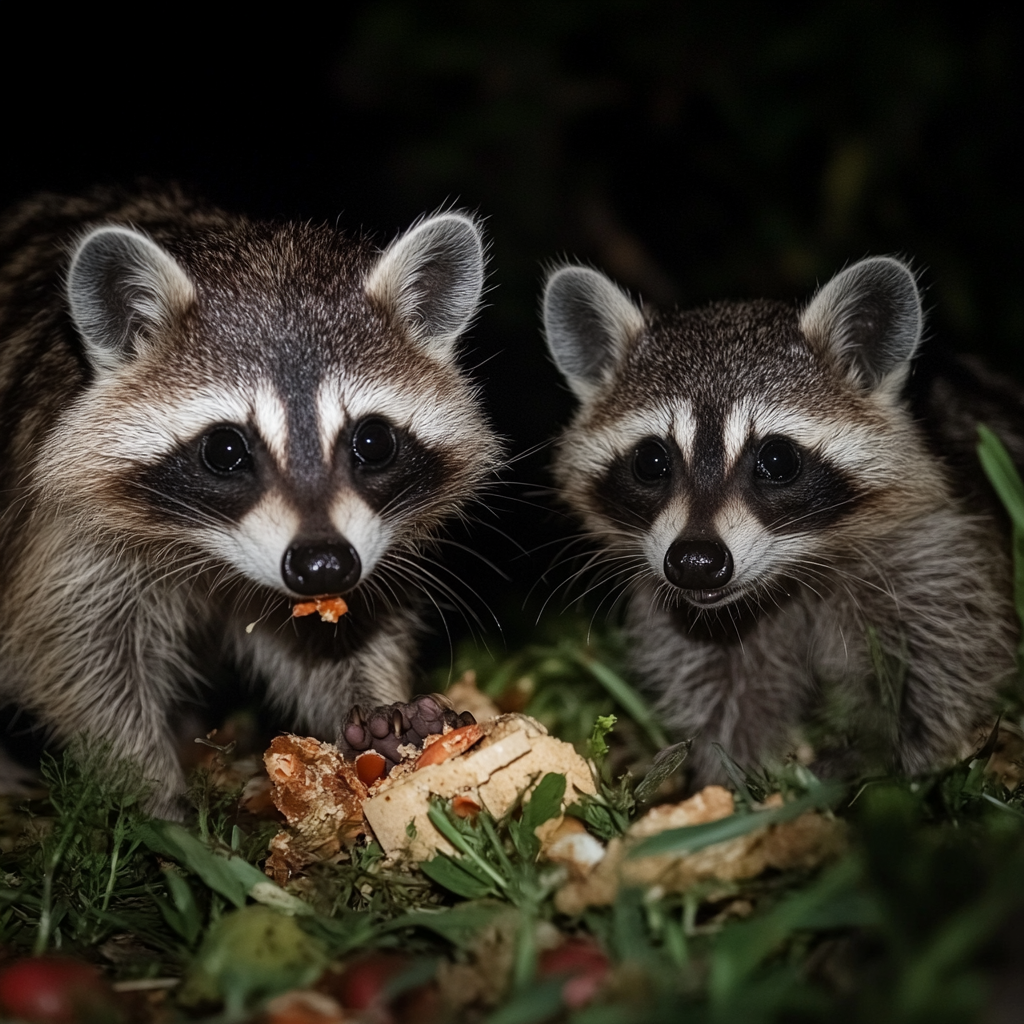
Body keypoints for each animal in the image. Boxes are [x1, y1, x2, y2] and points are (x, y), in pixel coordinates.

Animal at [0, 186, 497, 815]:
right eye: (225, 449)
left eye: (374, 441)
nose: (323, 566)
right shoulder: (66, 532)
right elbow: (77, 655)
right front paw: (147, 789)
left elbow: (337, 639)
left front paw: (381, 720)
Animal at [544, 258, 1015, 782]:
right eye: (651, 461)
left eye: (778, 459)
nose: (695, 562)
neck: (791, 571)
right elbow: (722, 689)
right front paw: (731, 776)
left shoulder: (932, 549)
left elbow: (938, 662)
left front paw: (888, 760)